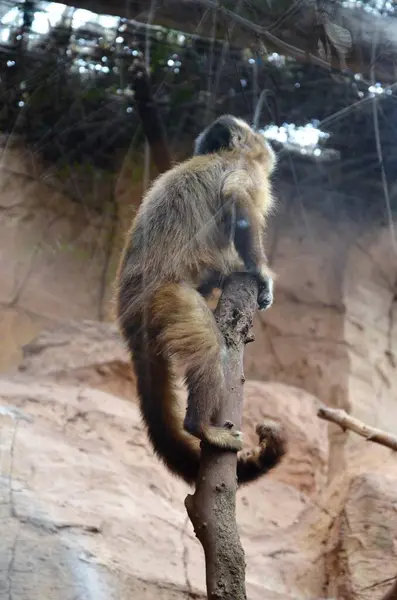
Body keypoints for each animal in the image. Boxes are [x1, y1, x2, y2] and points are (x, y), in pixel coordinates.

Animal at [114, 113, 284, 488]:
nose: (264, 138)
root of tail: (128, 310)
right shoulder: (242, 168)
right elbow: (238, 199)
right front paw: (261, 274)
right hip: (166, 300)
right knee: (209, 347)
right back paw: (201, 427)